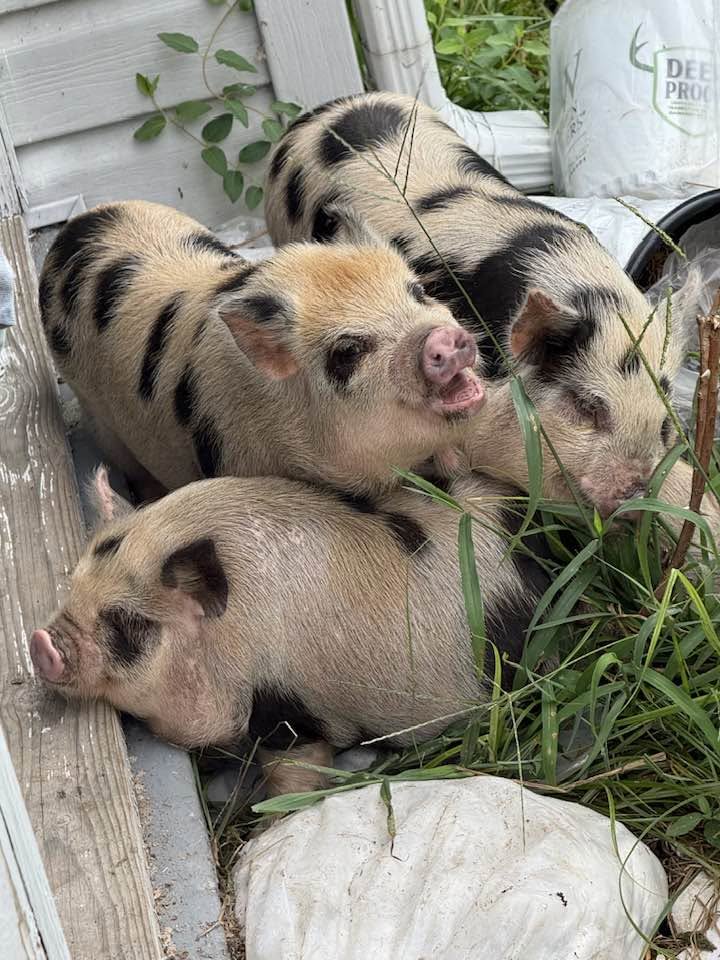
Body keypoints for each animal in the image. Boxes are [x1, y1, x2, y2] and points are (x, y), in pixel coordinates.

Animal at [30, 467, 550, 798]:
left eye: (128, 622)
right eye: (73, 584)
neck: (232, 637)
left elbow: (294, 774)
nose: (40, 642)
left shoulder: (293, 715)